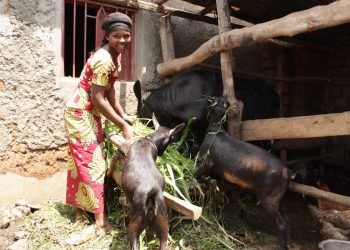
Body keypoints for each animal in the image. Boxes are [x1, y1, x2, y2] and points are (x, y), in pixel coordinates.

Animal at [196, 96, 292, 250]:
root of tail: (287, 172)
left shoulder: (207, 161)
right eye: (223, 102)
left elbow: (197, 173)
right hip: (279, 198)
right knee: (287, 219)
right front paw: (211, 182)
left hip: (269, 199)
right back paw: (287, 243)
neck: (216, 131)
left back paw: (279, 246)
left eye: (216, 101)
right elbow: (213, 180)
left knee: (281, 223)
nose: (218, 97)